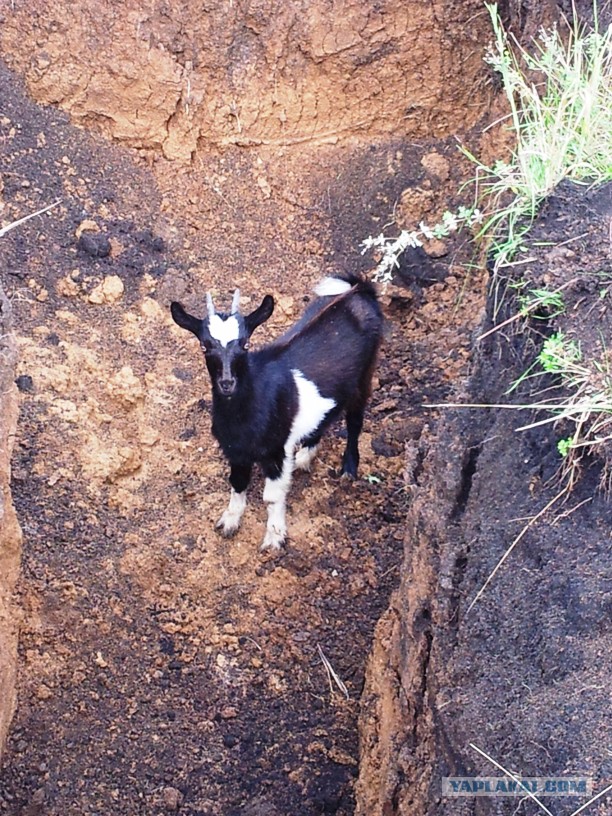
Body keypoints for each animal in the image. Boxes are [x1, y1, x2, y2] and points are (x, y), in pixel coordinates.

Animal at [171, 272, 382, 548]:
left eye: (245, 344)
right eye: (204, 346)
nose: (227, 383)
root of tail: (361, 290)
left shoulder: (276, 451)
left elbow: (271, 496)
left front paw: (274, 537)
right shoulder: (235, 451)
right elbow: (237, 483)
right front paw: (229, 521)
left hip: (365, 374)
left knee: (355, 419)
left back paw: (349, 468)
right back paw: (304, 456)